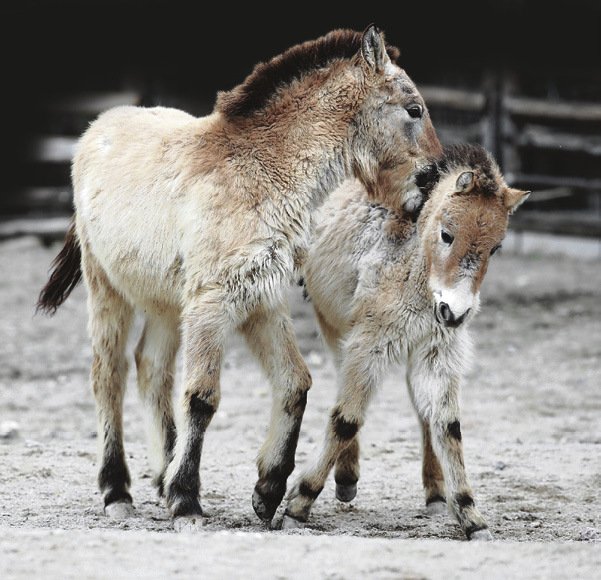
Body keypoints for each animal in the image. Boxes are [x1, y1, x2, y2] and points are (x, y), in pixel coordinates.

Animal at [284, 144, 528, 540]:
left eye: (496, 248)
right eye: (447, 234)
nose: (455, 313)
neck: (415, 272)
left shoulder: (437, 351)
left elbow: (447, 425)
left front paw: (469, 514)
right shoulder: (369, 343)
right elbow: (346, 418)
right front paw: (299, 503)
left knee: (422, 413)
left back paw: (435, 492)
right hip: (333, 325)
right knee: (346, 396)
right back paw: (346, 478)